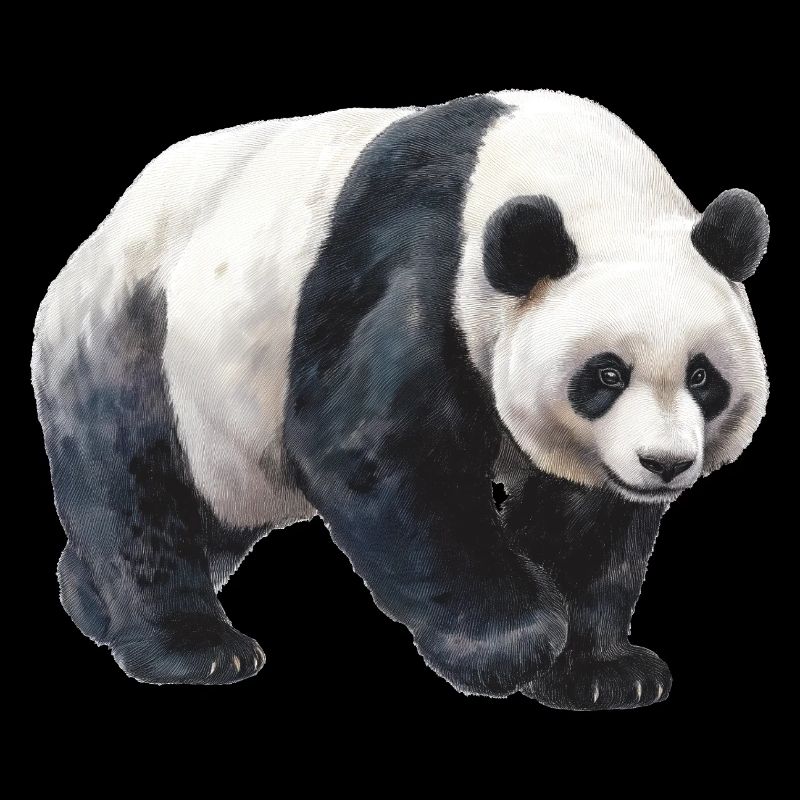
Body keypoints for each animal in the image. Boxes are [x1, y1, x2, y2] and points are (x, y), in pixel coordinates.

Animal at [31, 90, 769, 710]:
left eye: (702, 377)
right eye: (607, 375)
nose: (665, 463)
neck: (585, 183)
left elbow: (589, 517)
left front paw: (600, 671)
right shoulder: (418, 258)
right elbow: (377, 448)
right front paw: (514, 644)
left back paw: (88, 598)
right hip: (138, 328)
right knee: (137, 483)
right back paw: (193, 648)